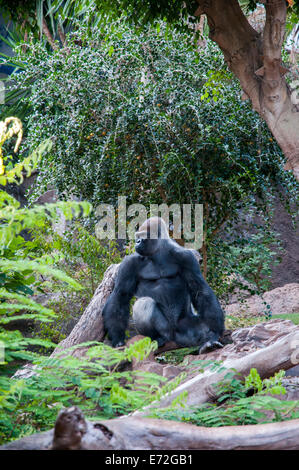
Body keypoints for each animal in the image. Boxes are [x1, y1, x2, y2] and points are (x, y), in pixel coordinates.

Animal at [103, 217, 225, 352]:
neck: (159, 253)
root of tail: (174, 338)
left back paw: (207, 343)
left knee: (198, 328)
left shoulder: (187, 257)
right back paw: (157, 337)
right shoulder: (128, 263)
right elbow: (121, 295)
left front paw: (214, 332)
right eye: (137, 237)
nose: (137, 242)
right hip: (165, 331)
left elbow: (199, 289)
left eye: (143, 236)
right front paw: (117, 337)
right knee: (144, 303)